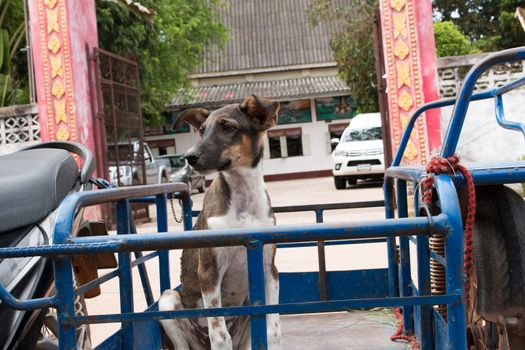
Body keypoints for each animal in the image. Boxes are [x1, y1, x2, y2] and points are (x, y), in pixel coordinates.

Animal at [159, 95, 282, 350]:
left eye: (227, 127)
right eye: (202, 130)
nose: (189, 157)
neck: (243, 202)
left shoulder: (269, 270)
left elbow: (273, 330)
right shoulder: (209, 272)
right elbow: (220, 335)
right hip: (168, 301)